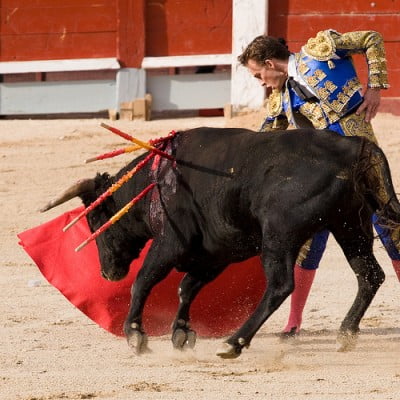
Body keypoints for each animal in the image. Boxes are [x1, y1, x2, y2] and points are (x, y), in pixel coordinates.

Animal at [41, 128, 400, 360]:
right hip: (350, 226)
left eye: (94, 221)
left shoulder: (170, 244)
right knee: (369, 274)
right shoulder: (215, 254)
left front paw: (135, 335)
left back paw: (234, 342)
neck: (153, 183)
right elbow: (187, 287)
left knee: (281, 285)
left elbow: (144, 280)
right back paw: (345, 334)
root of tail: (354, 147)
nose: (107, 273)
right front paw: (181, 333)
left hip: (280, 235)